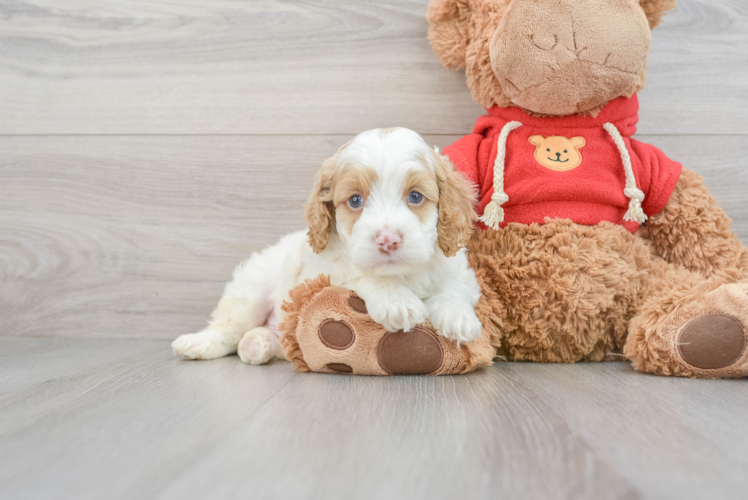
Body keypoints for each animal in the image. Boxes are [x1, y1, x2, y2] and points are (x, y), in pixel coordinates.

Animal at [172, 127, 482, 366]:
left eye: (415, 196)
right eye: (355, 200)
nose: (387, 239)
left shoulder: (459, 268)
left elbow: (455, 286)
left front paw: (458, 317)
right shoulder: (325, 272)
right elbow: (362, 273)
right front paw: (396, 301)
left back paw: (257, 344)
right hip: (252, 289)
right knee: (228, 329)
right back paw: (197, 344)